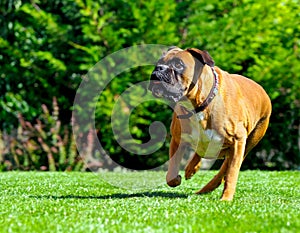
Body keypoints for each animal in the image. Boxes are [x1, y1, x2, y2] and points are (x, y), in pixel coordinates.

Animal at [148, 46, 272, 200]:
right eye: (159, 62)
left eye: (178, 64)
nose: (159, 68)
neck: (198, 105)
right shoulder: (177, 139)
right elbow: (171, 170)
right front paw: (176, 178)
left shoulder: (238, 142)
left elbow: (231, 173)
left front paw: (226, 198)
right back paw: (192, 171)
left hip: (248, 143)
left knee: (225, 169)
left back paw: (209, 187)